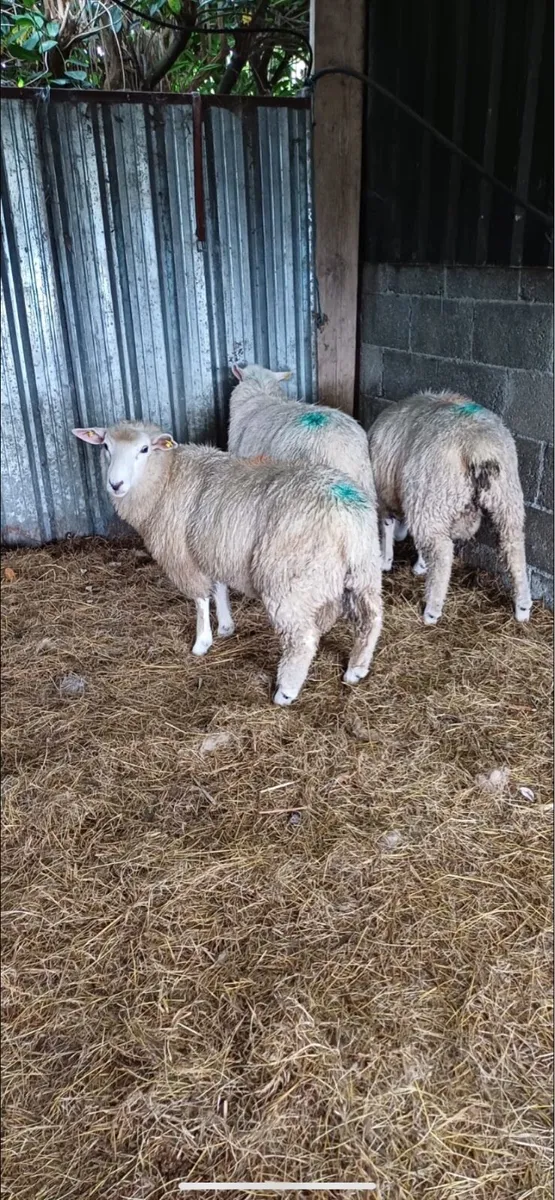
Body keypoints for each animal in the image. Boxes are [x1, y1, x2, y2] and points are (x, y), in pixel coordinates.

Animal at [73, 420, 383, 706]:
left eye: (144, 449)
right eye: (105, 447)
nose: (115, 484)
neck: (166, 477)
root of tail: (347, 516)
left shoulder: (182, 556)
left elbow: (200, 599)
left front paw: (202, 642)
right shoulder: (213, 547)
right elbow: (219, 587)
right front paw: (225, 626)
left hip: (287, 579)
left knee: (302, 639)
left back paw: (285, 692)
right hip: (363, 570)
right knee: (371, 619)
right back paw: (356, 670)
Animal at [367, 391, 532, 626]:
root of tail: (479, 446)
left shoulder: (384, 492)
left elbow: (386, 526)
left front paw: (386, 560)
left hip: (431, 496)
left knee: (442, 553)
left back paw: (431, 611)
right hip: (506, 498)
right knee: (514, 546)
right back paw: (523, 608)